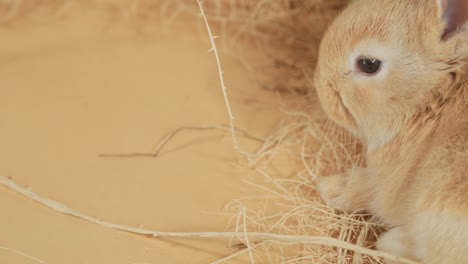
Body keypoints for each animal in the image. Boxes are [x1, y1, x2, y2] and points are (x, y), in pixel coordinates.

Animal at [310, 0, 468, 262]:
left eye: (368, 64)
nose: (320, 85)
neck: (435, 97)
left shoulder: (385, 182)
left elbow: (367, 192)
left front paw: (330, 189)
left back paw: (390, 242)